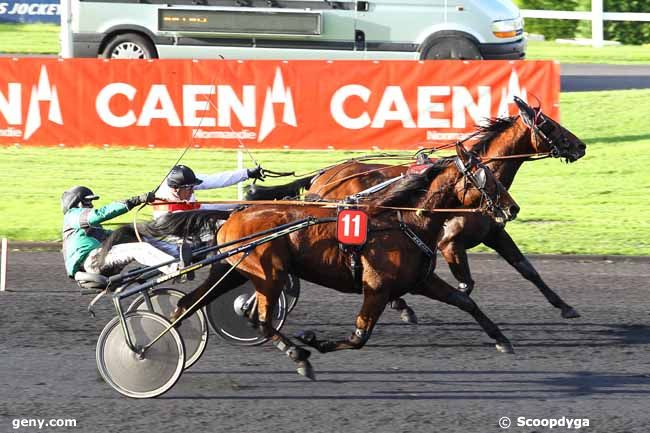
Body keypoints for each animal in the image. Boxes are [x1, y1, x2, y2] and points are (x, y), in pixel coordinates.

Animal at [211, 143, 516, 376]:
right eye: (486, 177)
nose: (513, 208)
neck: (405, 222)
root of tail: (233, 217)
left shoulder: (422, 281)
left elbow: (465, 301)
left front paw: (502, 339)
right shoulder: (377, 288)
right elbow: (359, 337)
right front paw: (314, 341)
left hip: (266, 275)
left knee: (254, 315)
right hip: (270, 274)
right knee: (262, 318)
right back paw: (298, 354)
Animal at [302, 98, 584, 320]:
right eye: (548, 124)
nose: (581, 146)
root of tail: (322, 176)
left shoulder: (494, 234)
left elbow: (527, 269)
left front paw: (565, 306)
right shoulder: (450, 243)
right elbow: (465, 284)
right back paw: (400, 305)